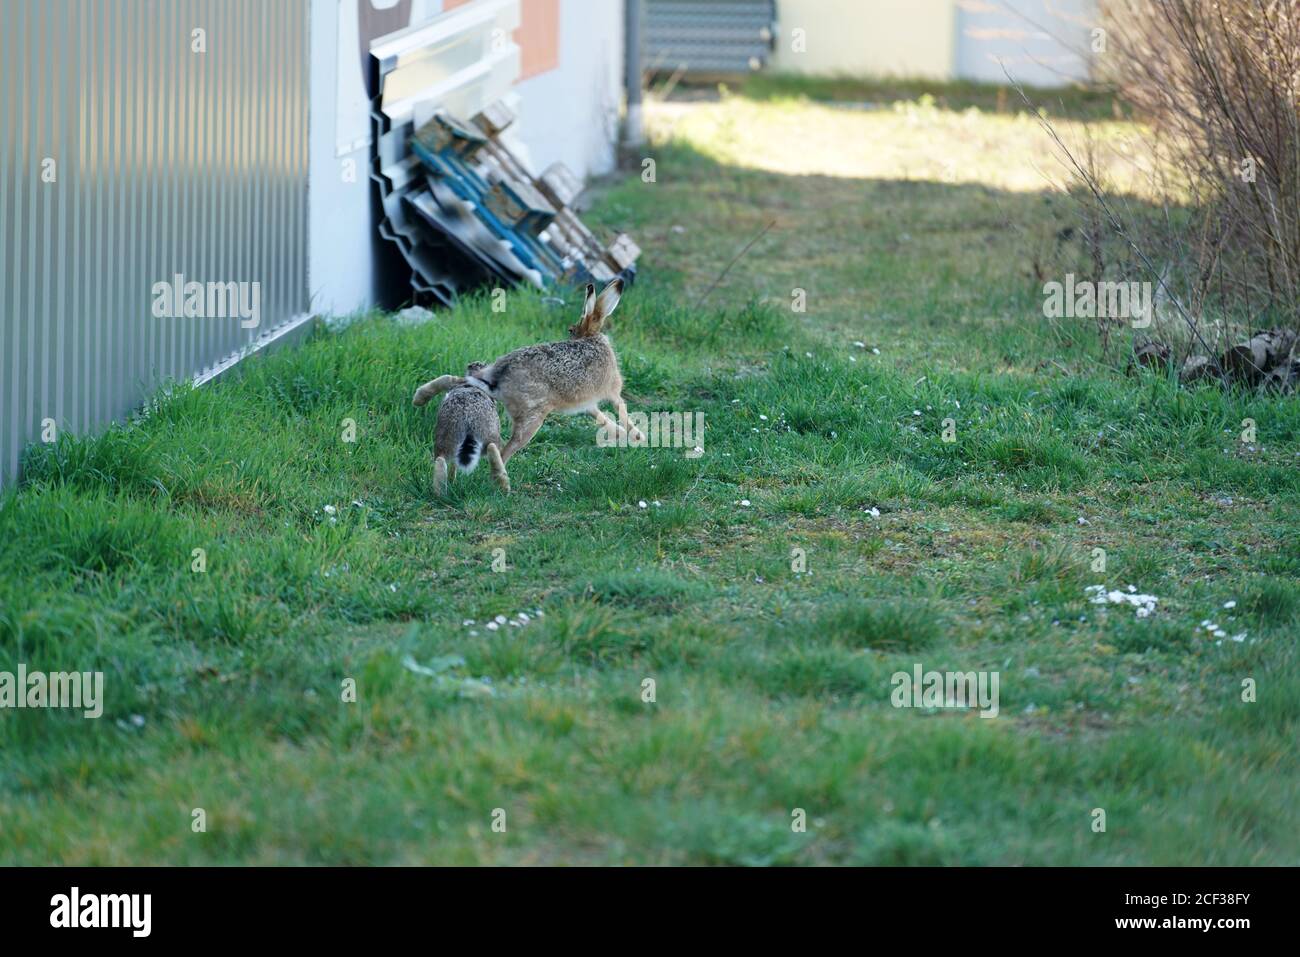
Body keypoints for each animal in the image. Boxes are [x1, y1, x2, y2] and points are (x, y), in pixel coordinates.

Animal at [412, 278, 642, 466]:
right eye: (570, 330)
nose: (569, 334)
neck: (591, 338)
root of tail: (499, 378)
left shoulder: (588, 404)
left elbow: (600, 415)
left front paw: (620, 433)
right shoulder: (612, 392)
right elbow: (621, 409)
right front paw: (637, 436)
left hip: (486, 377)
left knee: (459, 378)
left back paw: (419, 398)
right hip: (533, 417)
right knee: (505, 450)